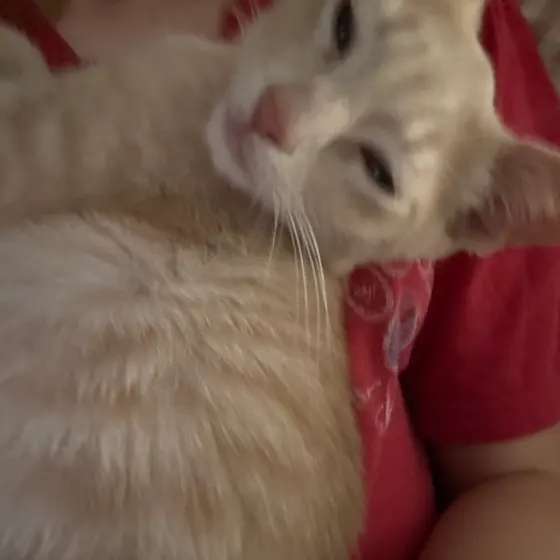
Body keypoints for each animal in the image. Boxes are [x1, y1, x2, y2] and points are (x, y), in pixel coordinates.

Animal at [0, 0, 560, 559]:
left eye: (378, 170)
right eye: (343, 26)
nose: (272, 115)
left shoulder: (37, 143)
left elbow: (19, 78)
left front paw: (14, 47)